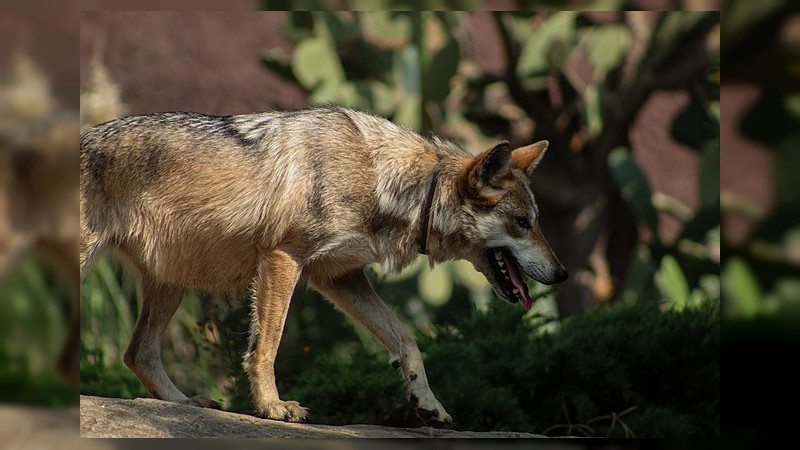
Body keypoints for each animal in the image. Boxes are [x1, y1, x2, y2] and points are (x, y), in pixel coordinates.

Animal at [79, 104, 568, 426]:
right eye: (523, 223)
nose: (562, 274)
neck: (390, 182)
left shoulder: (339, 277)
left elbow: (407, 340)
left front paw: (428, 404)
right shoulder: (283, 259)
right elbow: (266, 348)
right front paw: (273, 408)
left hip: (171, 281)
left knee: (137, 353)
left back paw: (185, 405)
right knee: (129, 350)